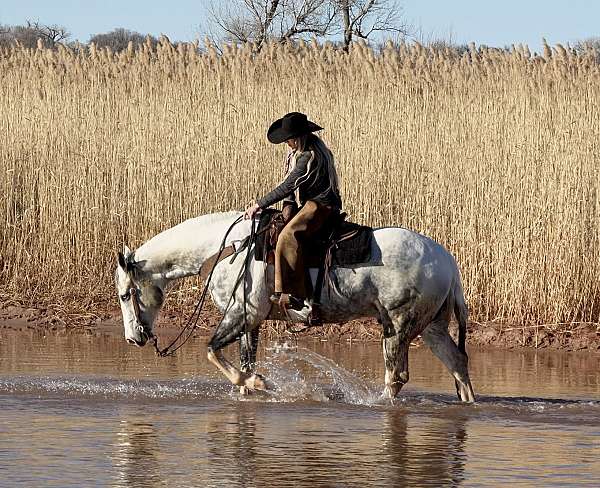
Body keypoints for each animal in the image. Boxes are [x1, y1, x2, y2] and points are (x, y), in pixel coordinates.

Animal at [115, 212, 476, 402]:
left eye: (124, 295)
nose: (134, 338)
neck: (224, 249)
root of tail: (448, 262)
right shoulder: (251, 321)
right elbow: (243, 362)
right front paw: (249, 388)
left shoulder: (242, 314)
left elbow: (212, 351)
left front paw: (261, 383)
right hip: (431, 328)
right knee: (457, 362)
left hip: (397, 326)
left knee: (397, 376)